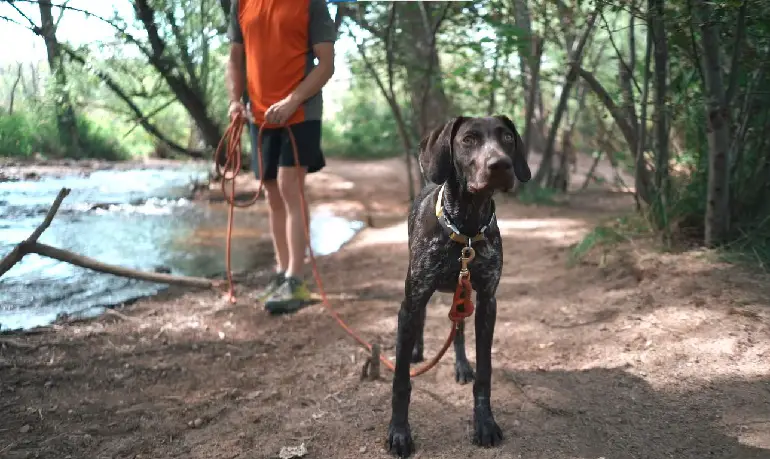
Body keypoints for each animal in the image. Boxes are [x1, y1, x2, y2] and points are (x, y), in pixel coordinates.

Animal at [384, 116, 528, 459]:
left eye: (507, 137)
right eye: (468, 139)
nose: (500, 165)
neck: (466, 228)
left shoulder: (487, 302)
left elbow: (485, 374)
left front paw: (485, 423)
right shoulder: (413, 299)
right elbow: (401, 382)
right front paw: (399, 432)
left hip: (464, 297)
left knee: (458, 331)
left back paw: (461, 365)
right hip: (421, 295)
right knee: (422, 321)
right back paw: (417, 350)